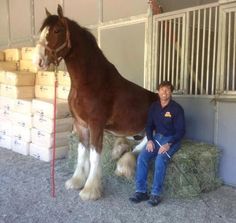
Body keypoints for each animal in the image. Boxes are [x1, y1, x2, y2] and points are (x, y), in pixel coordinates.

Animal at [33, 4, 158, 200]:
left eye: (57, 30)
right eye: (42, 31)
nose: (38, 61)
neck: (88, 82)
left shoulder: (96, 124)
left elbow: (94, 154)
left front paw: (90, 189)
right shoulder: (80, 124)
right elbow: (81, 152)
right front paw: (76, 181)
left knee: (144, 144)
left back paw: (124, 164)